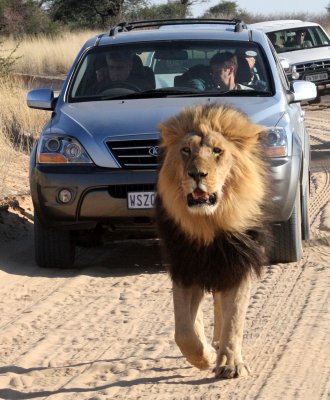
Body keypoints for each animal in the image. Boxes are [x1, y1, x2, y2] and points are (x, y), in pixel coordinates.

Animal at [156, 103, 272, 378]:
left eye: (218, 151)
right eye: (186, 151)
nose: (197, 173)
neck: (208, 223)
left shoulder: (238, 264)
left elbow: (234, 320)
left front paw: (230, 364)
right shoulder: (185, 268)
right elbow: (184, 332)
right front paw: (205, 358)